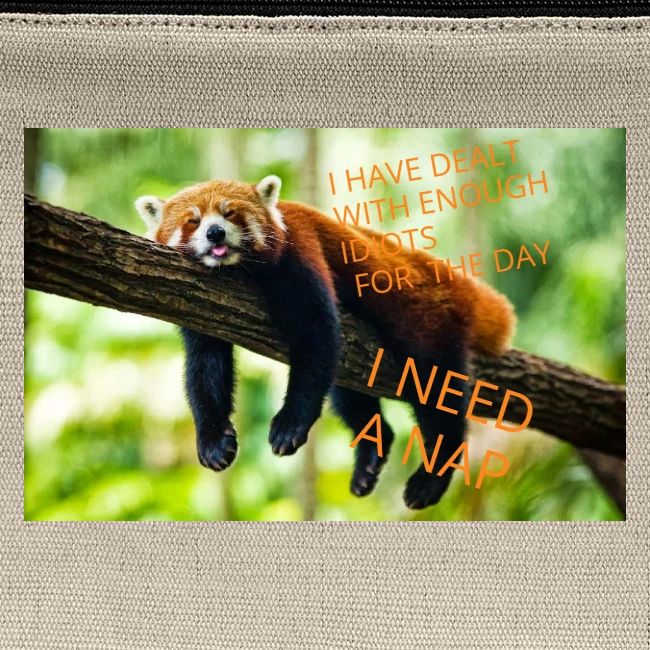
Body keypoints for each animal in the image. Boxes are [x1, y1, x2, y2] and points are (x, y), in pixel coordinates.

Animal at [136, 175, 515, 509]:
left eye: (230, 214)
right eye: (193, 221)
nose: (215, 232)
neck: (239, 270)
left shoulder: (300, 252)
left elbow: (316, 336)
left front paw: (290, 425)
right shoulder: (200, 304)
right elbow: (205, 367)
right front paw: (213, 441)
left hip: (427, 322)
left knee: (436, 392)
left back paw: (431, 477)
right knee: (348, 395)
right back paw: (370, 458)